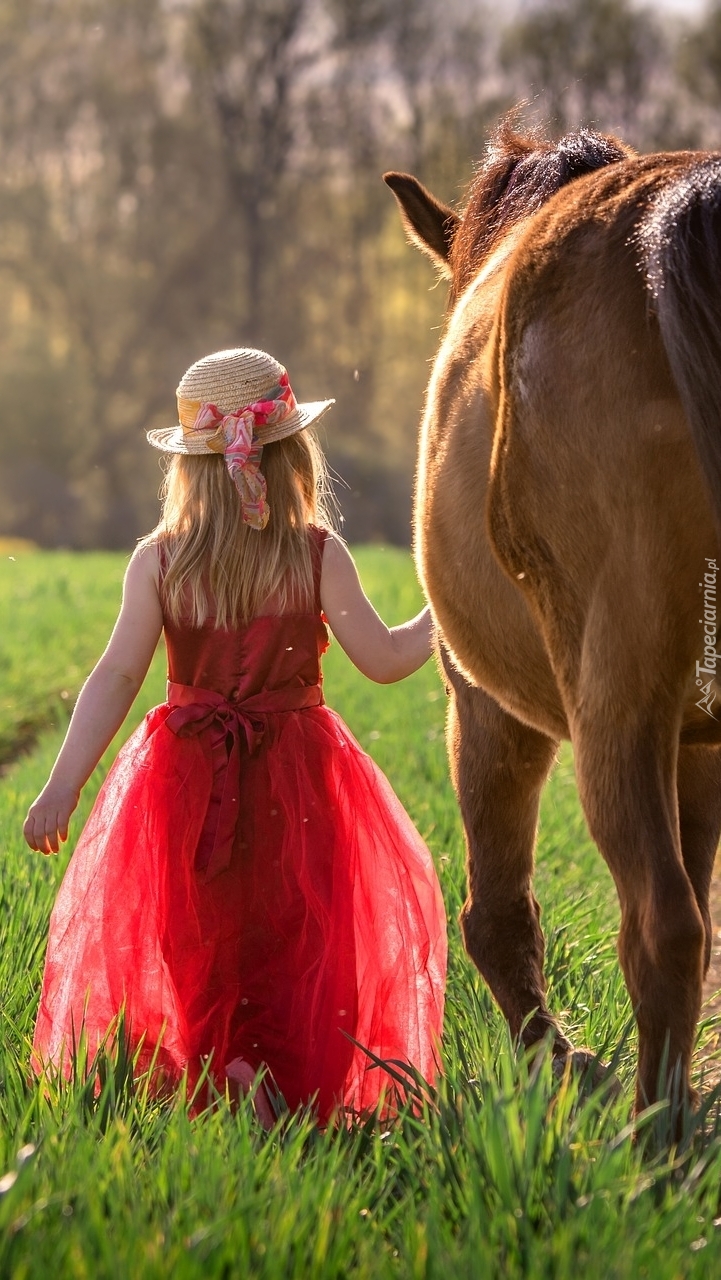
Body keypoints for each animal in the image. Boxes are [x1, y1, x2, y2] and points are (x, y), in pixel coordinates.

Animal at [386, 124, 721, 1116]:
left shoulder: (482, 706)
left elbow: (494, 914)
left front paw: (558, 1064)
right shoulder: (698, 740)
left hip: (611, 698)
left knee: (659, 926)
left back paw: (654, 1137)